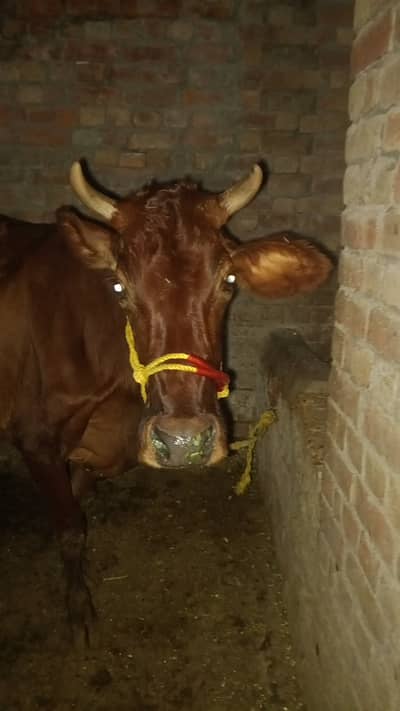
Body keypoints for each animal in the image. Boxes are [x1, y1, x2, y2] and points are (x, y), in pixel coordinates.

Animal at [0, 162, 332, 643]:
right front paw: (79, 609)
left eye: (229, 280)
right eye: (120, 287)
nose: (182, 443)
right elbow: (70, 528)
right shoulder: (35, 438)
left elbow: (77, 511)